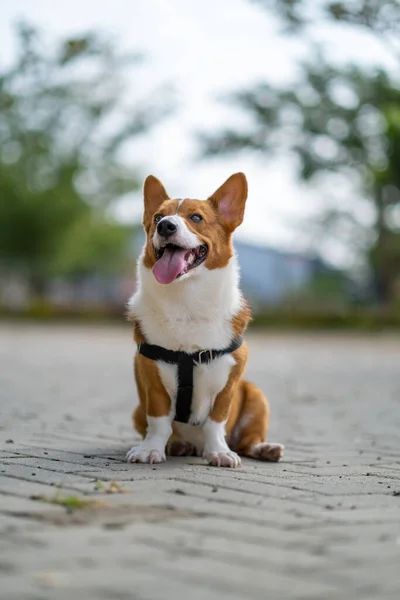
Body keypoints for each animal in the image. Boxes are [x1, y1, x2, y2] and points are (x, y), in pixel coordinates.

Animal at [126, 171, 282, 466]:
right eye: (157, 217)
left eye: (196, 217)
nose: (165, 226)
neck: (187, 301)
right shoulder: (151, 380)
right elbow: (159, 421)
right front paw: (150, 450)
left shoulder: (229, 382)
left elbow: (215, 422)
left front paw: (219, 452)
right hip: (137, 411)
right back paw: (177, 446)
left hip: (257, 396)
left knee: (247, 441)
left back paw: (263, 448)